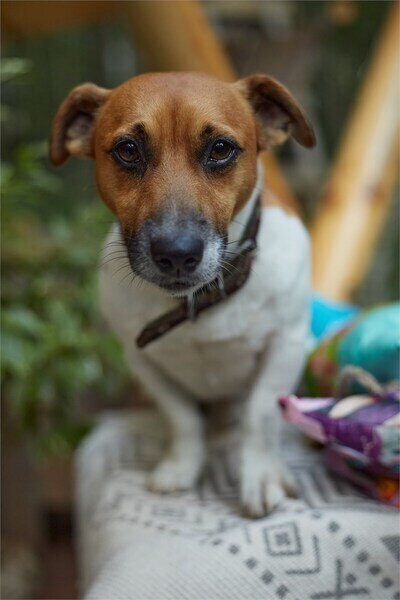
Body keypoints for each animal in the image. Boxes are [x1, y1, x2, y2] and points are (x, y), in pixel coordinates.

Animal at [49, 71, 315, 518]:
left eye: (220, 149)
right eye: (128, 150)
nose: (176, 254)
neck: (197, 301)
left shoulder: (287, 344)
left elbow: (260, 415)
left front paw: (260, 476)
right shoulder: (143, 361)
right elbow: (182, 418)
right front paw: (181, 467)